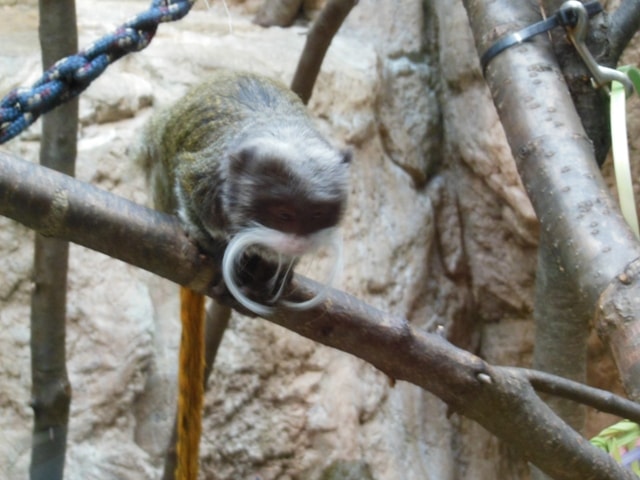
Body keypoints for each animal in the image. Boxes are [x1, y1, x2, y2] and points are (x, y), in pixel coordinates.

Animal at [136, 70, 350, 480]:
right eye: (284, 214)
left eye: (315, 215)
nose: (297, 241)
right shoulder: (203, 176)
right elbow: (187, 183)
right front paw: (212, 246)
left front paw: (278, 270)